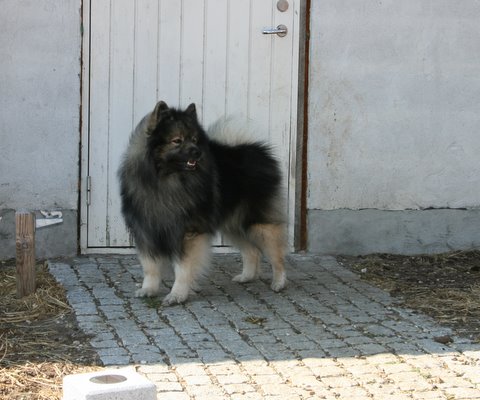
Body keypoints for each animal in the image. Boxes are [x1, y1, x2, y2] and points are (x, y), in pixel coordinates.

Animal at [118, 101, 286, 304]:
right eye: (177, 140)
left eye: (195, 139)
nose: (197, 152)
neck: (165, 182)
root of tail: (254, 150)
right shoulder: (146, 232)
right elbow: (150, 267)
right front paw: (148, 289)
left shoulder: (188, 233)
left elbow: (182, 268)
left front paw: (177, 295)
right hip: (233, 224)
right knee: (252, 251)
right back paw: (247, 277)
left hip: (258, 224)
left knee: (276, 253)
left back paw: (279, 282)